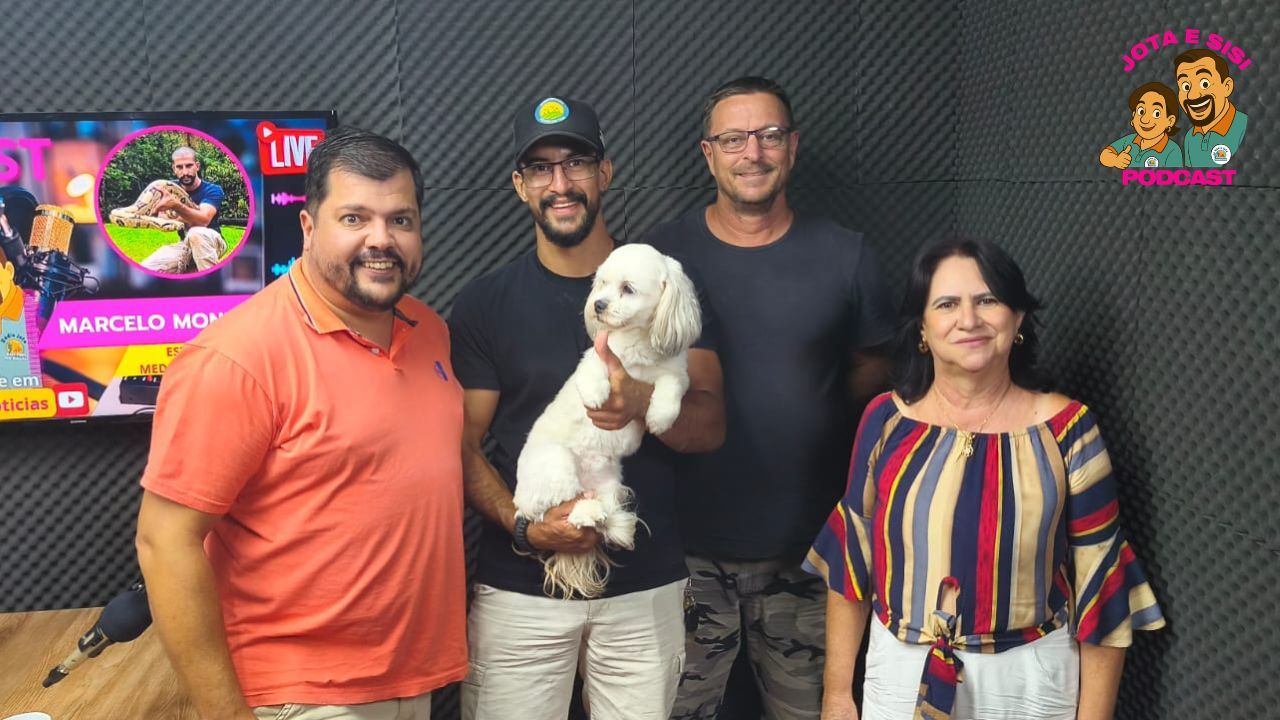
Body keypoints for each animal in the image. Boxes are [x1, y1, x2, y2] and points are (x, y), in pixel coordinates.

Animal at [514, 243, 702, 599]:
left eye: (627, 288)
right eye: (601, 284)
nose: (598, 304)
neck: (638, 346)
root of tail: (520, 503)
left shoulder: (677, 372)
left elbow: (671, 387)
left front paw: (660, 417)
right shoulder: (597, 355)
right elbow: (592, 371)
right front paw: (594, 393)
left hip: (610, 479)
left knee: (595, 509)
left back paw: (602, 516)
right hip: (556, 464)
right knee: (558, 509)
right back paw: (586, 513)